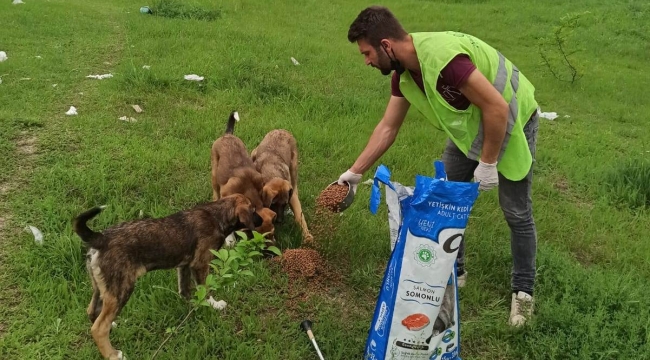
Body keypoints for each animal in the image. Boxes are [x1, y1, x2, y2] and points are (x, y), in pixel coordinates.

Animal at [71, 194, 260, 360]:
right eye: (253, 210)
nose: (262, 221)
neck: (216, 215)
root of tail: (100, 238)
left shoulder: (185, 266)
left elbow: (185, 290)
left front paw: (193, 307)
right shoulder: (200, 264)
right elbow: (205, 290)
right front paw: (214, 305)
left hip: (102, 287)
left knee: (92, 311)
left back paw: (112, 327)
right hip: (121, 288)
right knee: (98, 328)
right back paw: (112, 354)